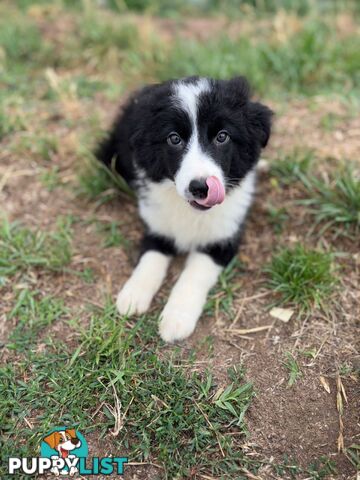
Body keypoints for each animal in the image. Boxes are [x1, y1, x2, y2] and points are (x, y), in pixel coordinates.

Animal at [97, 76, 272, 342]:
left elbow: (193, 275)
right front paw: (133, 294)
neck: (191, 212)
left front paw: (176, 319)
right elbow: (150, 257)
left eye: (222, 136)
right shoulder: (157, 226)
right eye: (174, 139)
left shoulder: (222, 239)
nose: (200, 187)